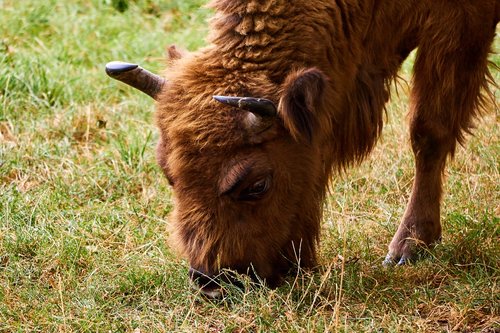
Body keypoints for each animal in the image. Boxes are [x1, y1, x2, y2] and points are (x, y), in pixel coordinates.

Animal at [106, 0, 500, 296]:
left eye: (257, 185)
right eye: (169, 175)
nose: (213, 282)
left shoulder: (459, 21)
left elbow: (429, 130)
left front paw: (408, 248)